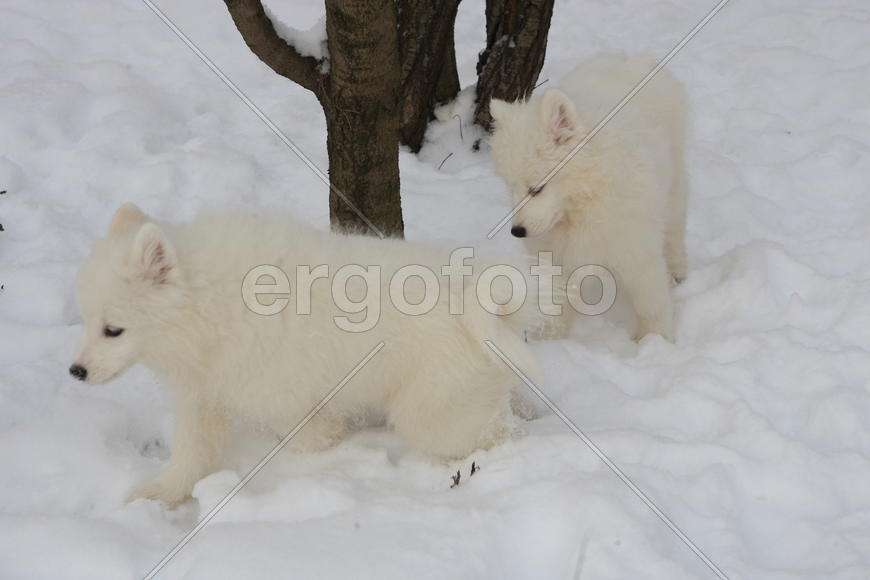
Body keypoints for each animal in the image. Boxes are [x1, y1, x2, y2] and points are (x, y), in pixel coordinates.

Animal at [71, 206, 540, 506]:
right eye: (87, 320)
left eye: (113, 330)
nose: (76, 371)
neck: (207, 305)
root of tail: (481, 301)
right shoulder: (208, 390)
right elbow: (191, 451)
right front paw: (160, 494)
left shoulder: (276, 391)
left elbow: (308, 434)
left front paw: (335, 442)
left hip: (432, 411)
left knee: (493, 432)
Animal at [490, 54, 688, 340]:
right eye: (509, 187)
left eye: (536, 188)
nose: (517, 231)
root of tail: (632, 57)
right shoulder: (558, 256)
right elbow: (557, 300)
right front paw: (552, 338)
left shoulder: (636, 251)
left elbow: (650, 304)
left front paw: (655, 340)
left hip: (674, 184)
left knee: (675, 227)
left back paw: (678, 270)